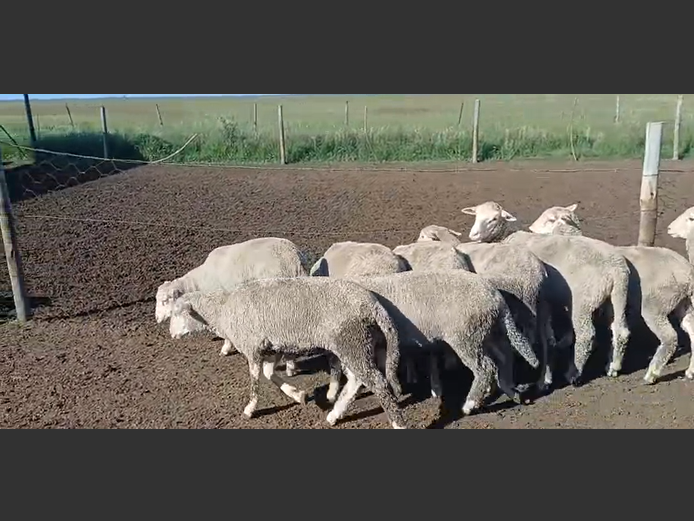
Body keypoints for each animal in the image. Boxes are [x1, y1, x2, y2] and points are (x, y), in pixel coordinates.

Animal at [168, 277, 408, 429]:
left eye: (177, 314)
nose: (171, 334)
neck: (223, 309)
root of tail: (373, 304)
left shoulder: (252, 346)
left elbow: (255, 382)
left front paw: (250, 409)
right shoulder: (272, 348)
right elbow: (269, 374)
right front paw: (297, 395)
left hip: (352, 341)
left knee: (377, 382)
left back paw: (398, 424)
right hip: (358, 343)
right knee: (357, 380)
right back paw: (334, 414)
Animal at [335, 271, 541, 415]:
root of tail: (495, 296)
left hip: (466, 335)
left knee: (485, 368)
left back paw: (469, 405)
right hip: (485, 332)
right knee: (504, 358)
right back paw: (512, 392)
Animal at [461, 201, 632, 387]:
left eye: (493, 218)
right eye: (476, 215)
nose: (473, 234)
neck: (507, 237)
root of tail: (616, 269)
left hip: (583, 302)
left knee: (586, 335)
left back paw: (573, 373)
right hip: (616, 297)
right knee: (620, 330)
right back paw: (613, 366)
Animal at [530, 204, 694, 384]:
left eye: (551, 219)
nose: (531, 229)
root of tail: (686, 272)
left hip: (655, 305)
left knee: (669, 337)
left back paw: (651, 374)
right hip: (681, 303)